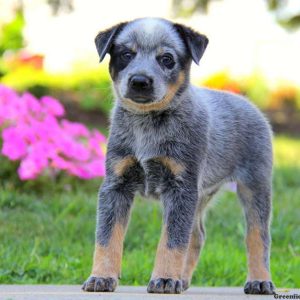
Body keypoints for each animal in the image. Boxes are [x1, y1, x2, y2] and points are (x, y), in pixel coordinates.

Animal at [81, 18, 274, 296]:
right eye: (126, 54)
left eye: (167, 59)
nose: (140, 81)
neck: (147, 124)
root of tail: (247, 102)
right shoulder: (116, 185)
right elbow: (107, 236)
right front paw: (102, 277)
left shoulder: (180, 187)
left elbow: (172, 240)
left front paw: (163, 279)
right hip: (200, 195)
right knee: (196, 235)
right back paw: (182, 280)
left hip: (254, 185)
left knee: (257, 235)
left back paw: (259, 280)